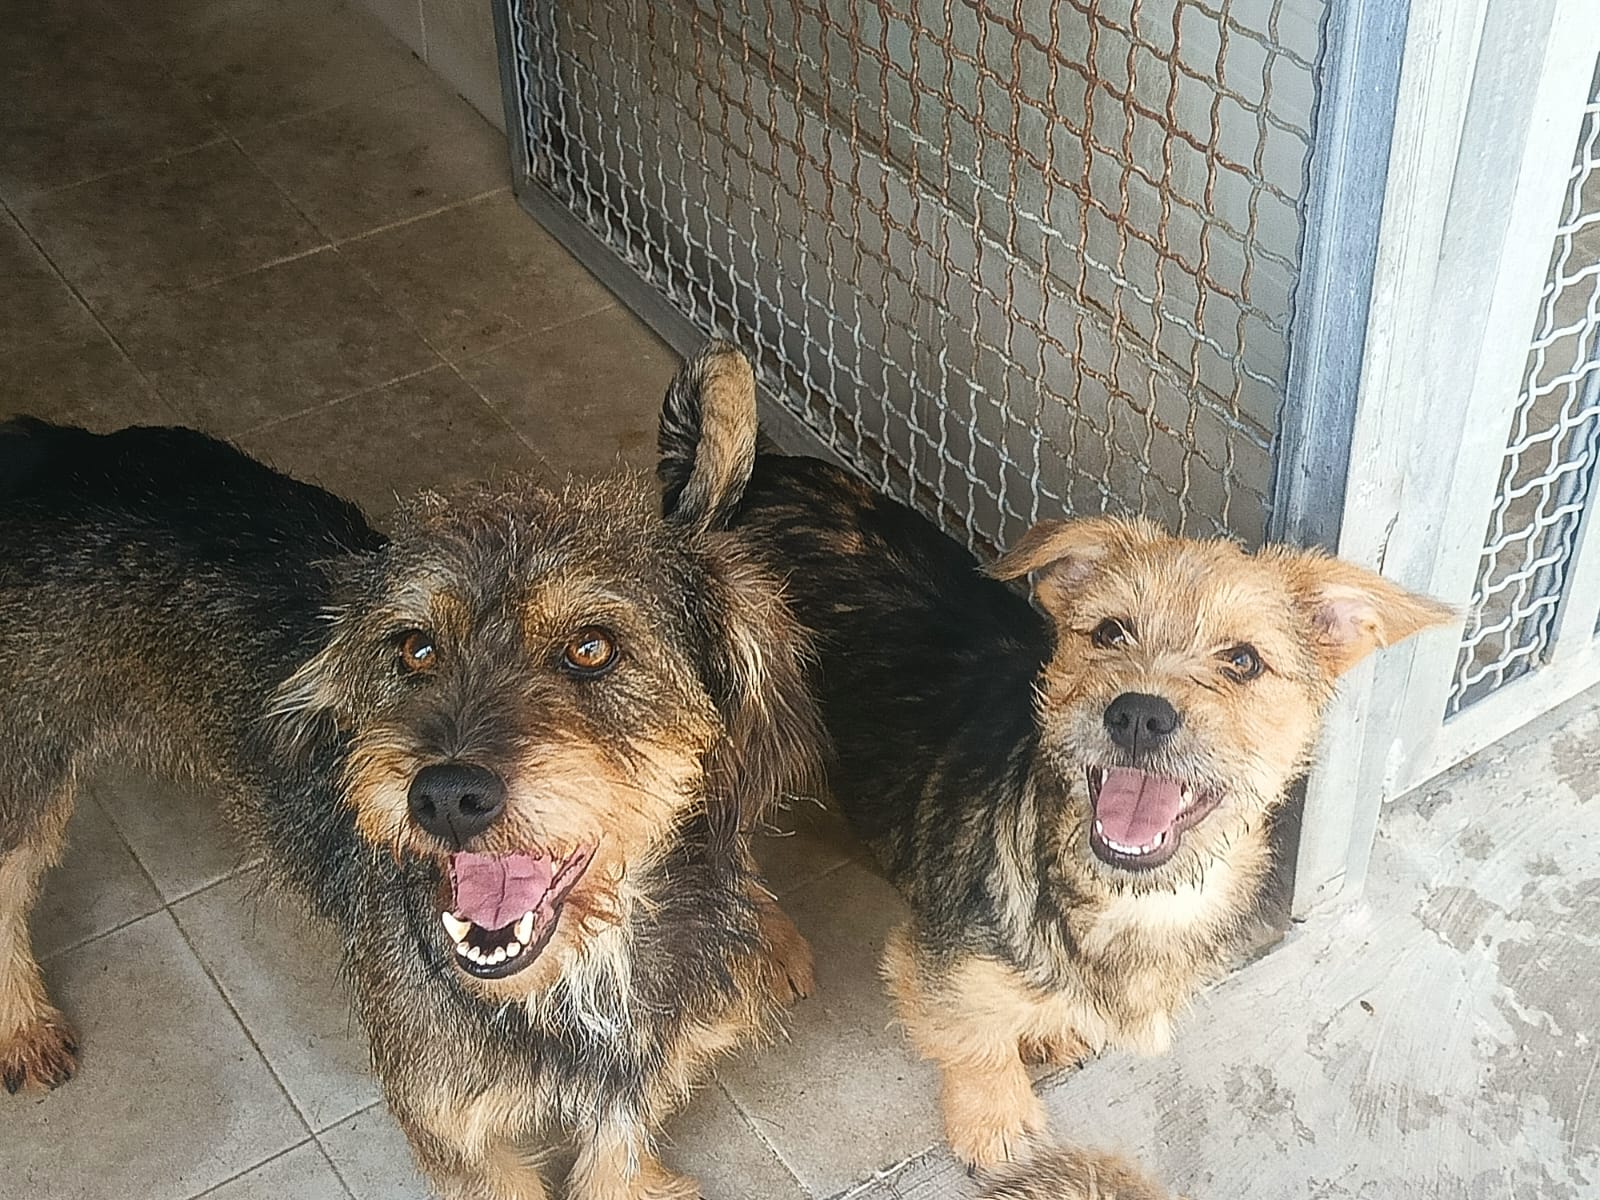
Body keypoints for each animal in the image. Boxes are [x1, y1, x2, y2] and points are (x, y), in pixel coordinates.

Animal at [0, 416, 822, 1200]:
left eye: (592, 648)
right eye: (415, 649)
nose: (446, 797)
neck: (585, 973)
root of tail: (50, 447)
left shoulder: (636, 1082)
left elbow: (614, 1160)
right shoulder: (452, 1127)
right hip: (24, 770)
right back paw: (22, 1023)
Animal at [659, 343, 1454, 1194]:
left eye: (1244, 661)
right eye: (1108, 632)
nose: (1138, 714)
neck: (1127, 901)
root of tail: (751, 481)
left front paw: (1048, 1034)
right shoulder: (933, 963)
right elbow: (972, 1038)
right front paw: (998, 1127)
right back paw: (767, 942)